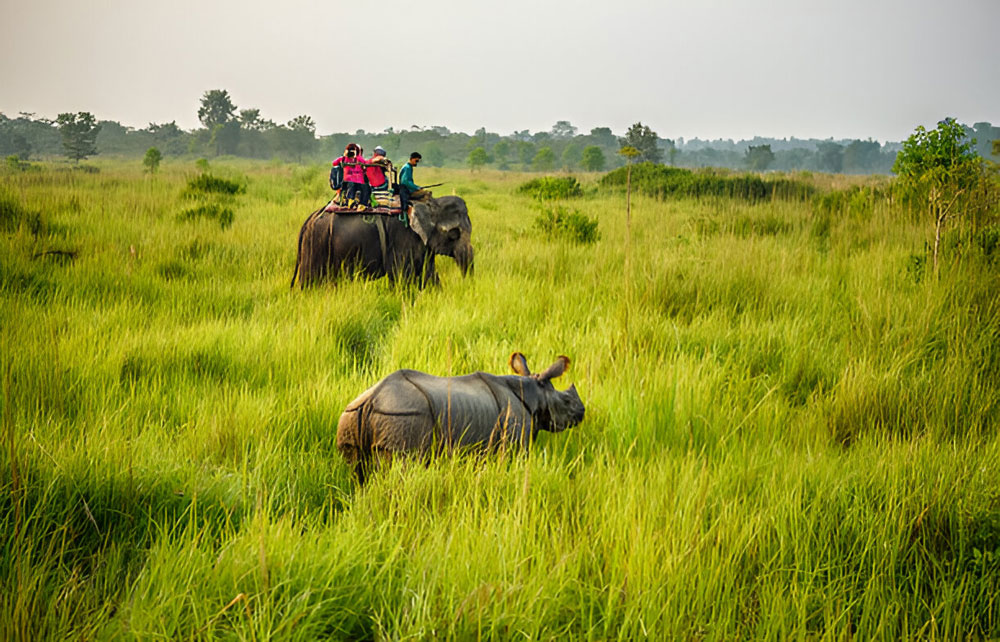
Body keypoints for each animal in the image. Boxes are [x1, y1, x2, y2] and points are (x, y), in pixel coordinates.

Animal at [292, 194, 474, 286]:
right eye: (454, 234)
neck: (430, 203)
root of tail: (310, 219)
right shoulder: (402, 238)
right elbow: (400, 276)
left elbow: (428, 275)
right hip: (316, 242)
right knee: (310, 281)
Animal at [336, 350, 584, 480]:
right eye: (567, 401)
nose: (582, 412)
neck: (534, 393)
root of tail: (371, 401)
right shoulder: (514, 439)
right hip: (402, 416)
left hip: (351, 416)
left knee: (356, 473)